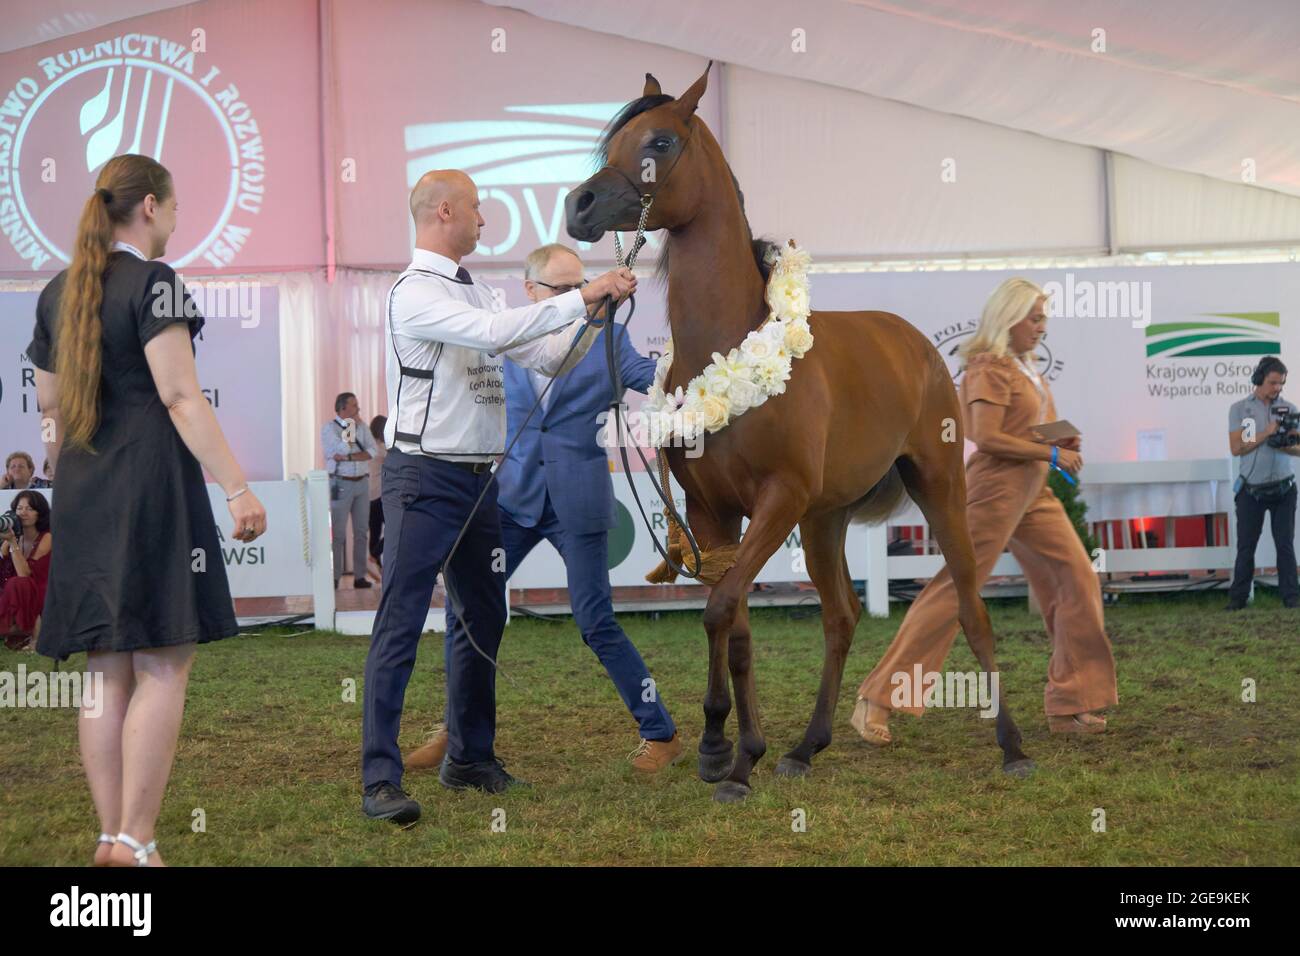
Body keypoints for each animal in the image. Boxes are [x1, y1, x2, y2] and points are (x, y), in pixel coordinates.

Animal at [564, 65, 1029, 801]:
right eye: (612, 143)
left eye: (660, 141)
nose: (578, 206)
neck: (727, 338)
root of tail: (914, 343)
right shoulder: (714, 511)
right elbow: (732, 621)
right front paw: (727, 747)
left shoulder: (777, 500)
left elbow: (722, 610)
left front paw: (731, 755)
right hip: (825, 517)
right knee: (840, 618)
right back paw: (806, 746)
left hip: (937, 488)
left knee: (969, 606)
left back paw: (1011, 745)